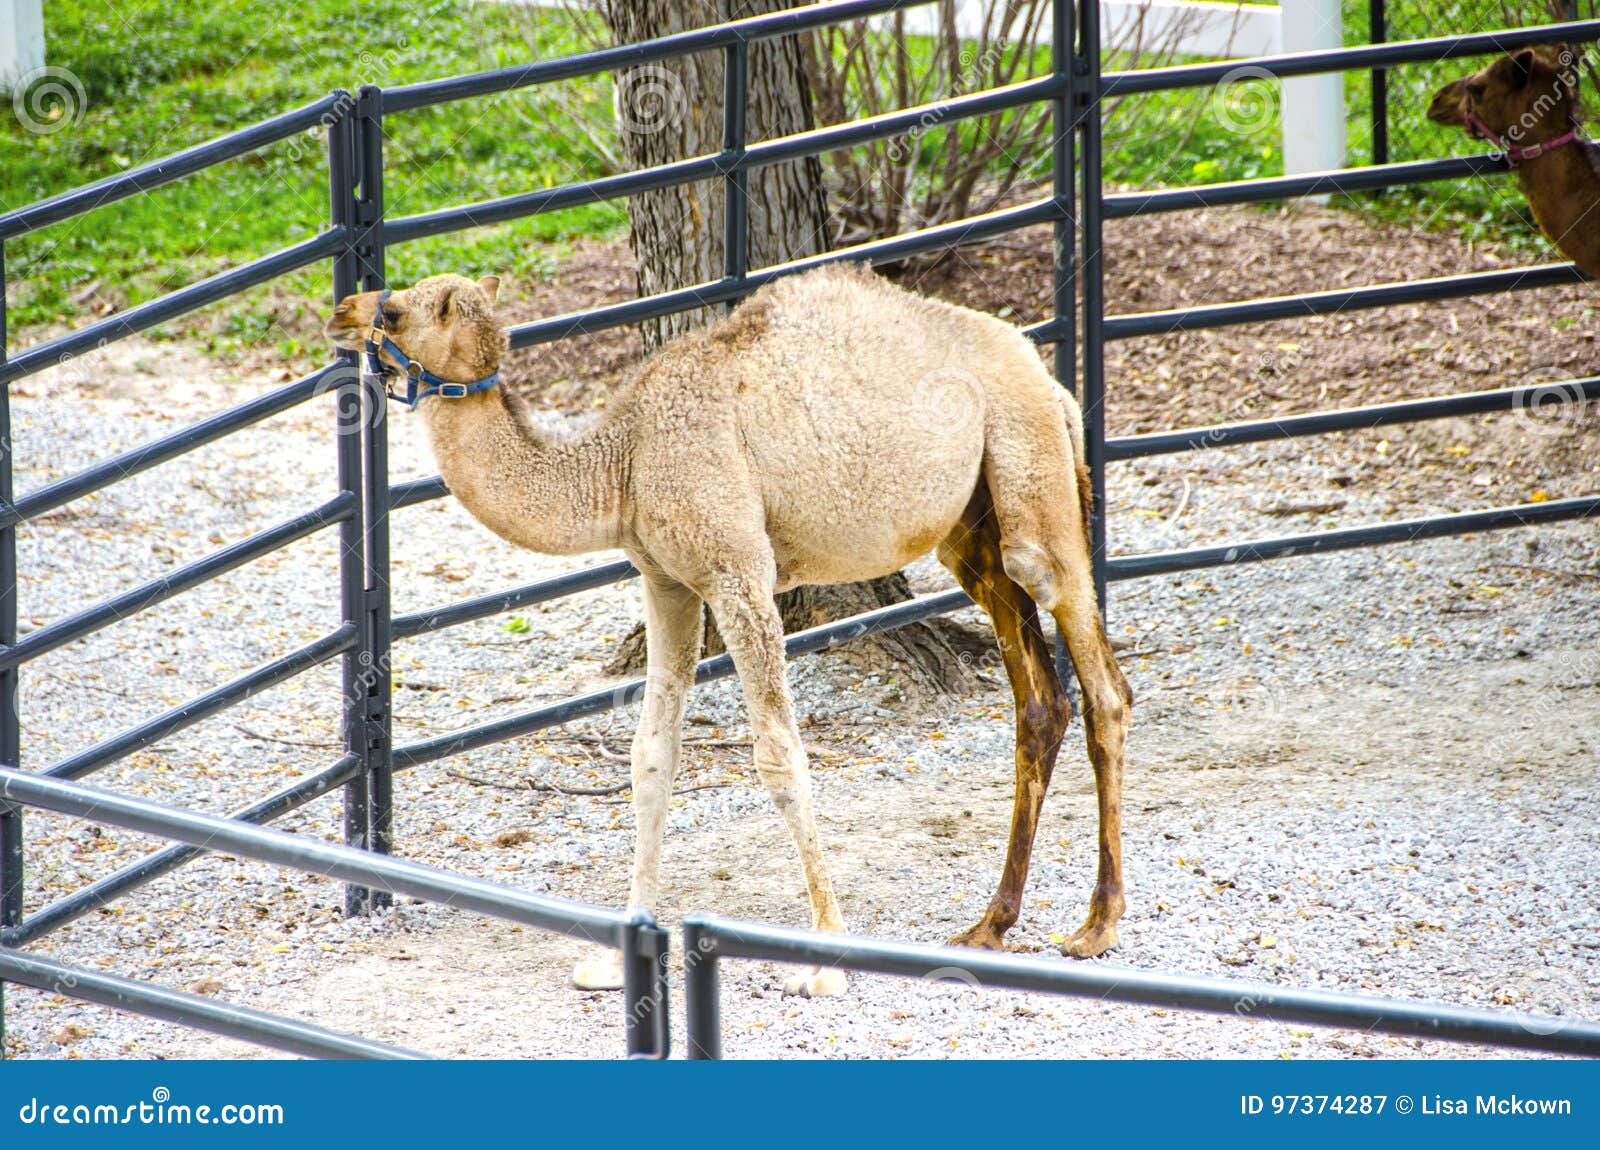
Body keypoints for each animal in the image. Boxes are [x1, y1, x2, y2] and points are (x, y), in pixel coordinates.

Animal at [325, 264, 1132, 997]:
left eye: (395, 311)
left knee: (1102, 683)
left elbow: (779, 755)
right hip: (971, 531)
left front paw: (827, 956)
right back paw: (990, 924)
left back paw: (1096, 925)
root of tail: (1052, 383)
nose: (342, 311)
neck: (625, 460)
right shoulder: (667, 581)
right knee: (1040, 701)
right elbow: (651, 757)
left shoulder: (738, 575)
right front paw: (620, 951)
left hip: (1031, 476)